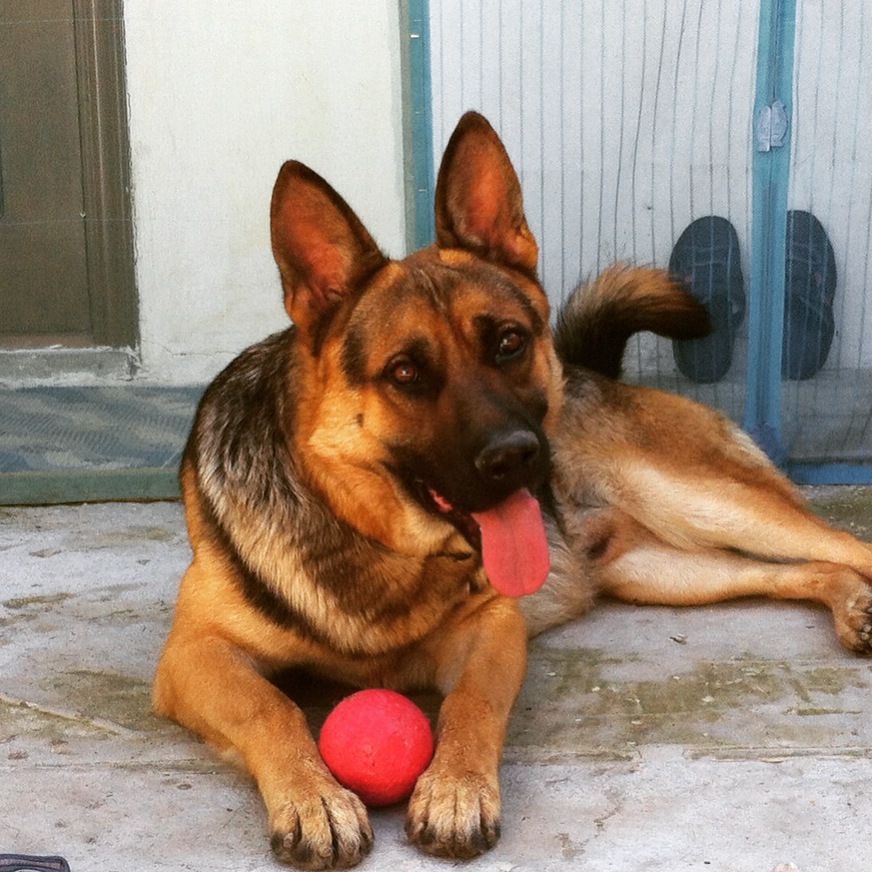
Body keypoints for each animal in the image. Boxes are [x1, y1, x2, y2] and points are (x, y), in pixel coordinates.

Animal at [153, 112, 872, 868]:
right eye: (405, 373)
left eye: (508, 342)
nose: (519, 459)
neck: (369, 537)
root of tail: (595, 373)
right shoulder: (193, 654)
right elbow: (271, 705)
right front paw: (314, 796)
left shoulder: (493, 624)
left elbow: (472, 704)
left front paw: (455, 790)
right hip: (663, 573)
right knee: (798, 569)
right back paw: (850, 603)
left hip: (707, 502)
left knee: (844, 542)